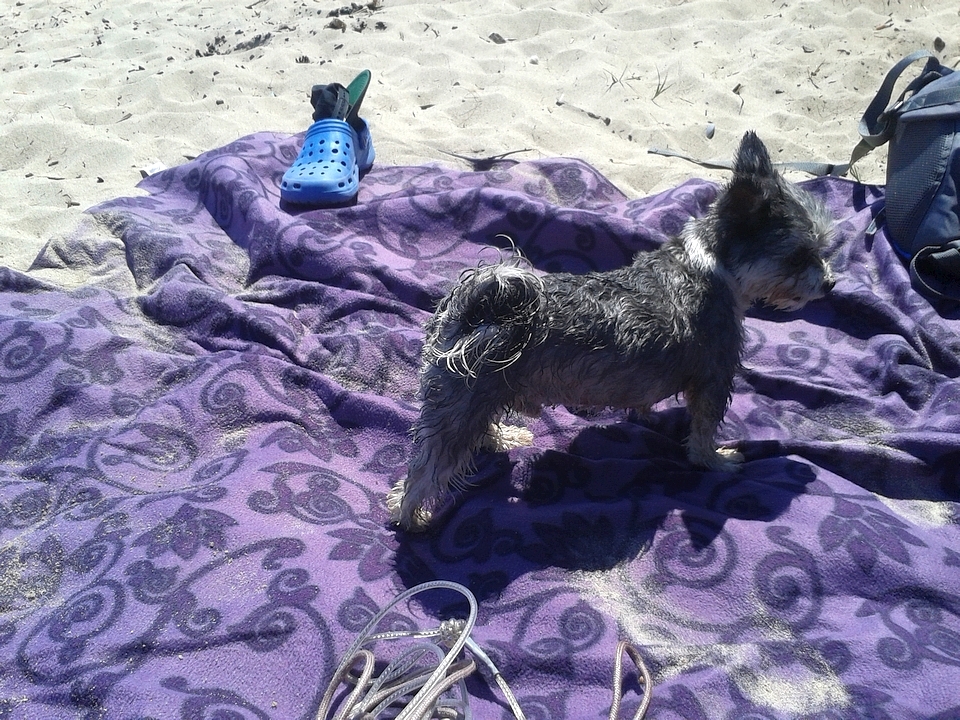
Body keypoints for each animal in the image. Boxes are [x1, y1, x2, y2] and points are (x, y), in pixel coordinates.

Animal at [388, 131, 835, 530]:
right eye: (800, 256)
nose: (830, 284)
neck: (710, 266)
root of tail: (472, 306)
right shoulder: (713, 376)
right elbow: (704, 433)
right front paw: (717, 461)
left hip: (478, 393)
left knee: (472, 431)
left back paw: (501, 438)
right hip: (462, 402)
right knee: (426, 469)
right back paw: (412, 517)